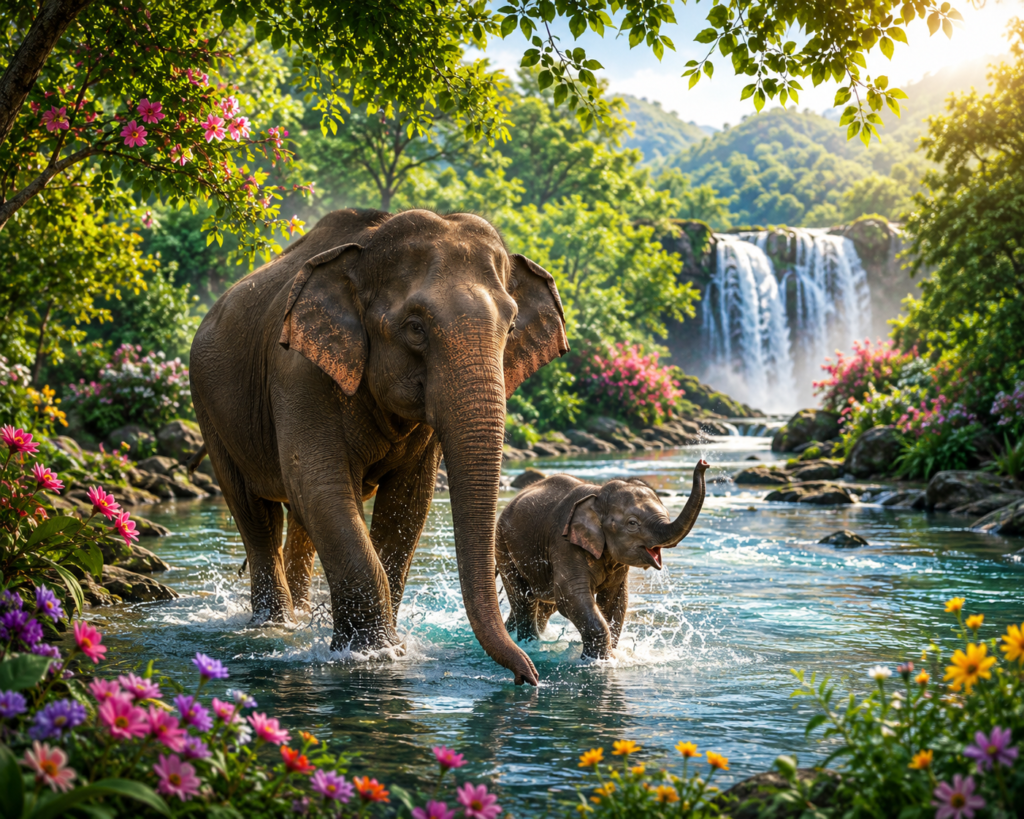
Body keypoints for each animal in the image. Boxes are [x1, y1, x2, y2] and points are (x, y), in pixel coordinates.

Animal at [189, 208, 569, 685]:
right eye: (415, 328)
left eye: (513, 326)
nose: (528, 677)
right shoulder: (296, 370)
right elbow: (321, 486)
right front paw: (373, 653)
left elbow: (408, 503)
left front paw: (387, 644)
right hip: (208, 406)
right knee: (257, 518)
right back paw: (274, 628)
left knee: (299, 522)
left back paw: (300, 619)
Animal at [495, 460, 708, 659]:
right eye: (632, 523)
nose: (703, 463)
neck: (597, 495)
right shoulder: (564, 544)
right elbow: (572, 596)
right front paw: (598, 662)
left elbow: (615, 601)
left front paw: (610, 655)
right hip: (502, 546)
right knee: (525, 600)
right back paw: (529, 644)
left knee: (543, 605)